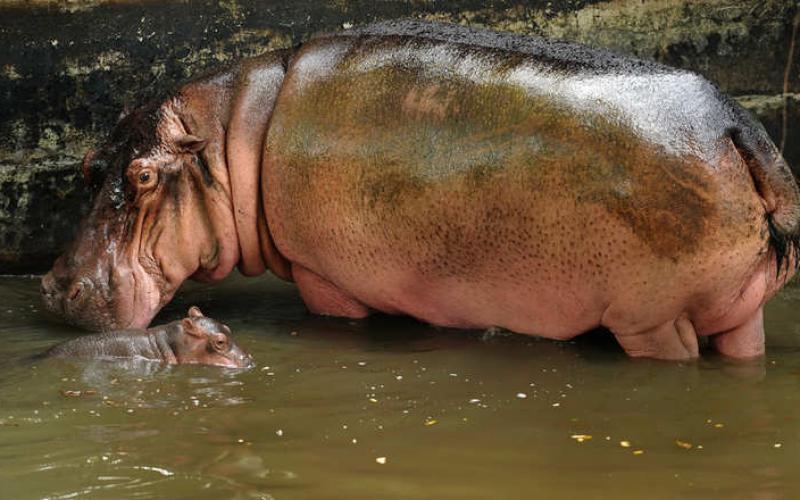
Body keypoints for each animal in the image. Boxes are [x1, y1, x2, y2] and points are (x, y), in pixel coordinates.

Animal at [42, 21, 800, 360]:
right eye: (87, 165)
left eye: (144, 176)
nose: (54, 286)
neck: (230, 138)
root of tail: (739, 129)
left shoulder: (324, 277)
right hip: (739, 315)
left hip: (651, 321)